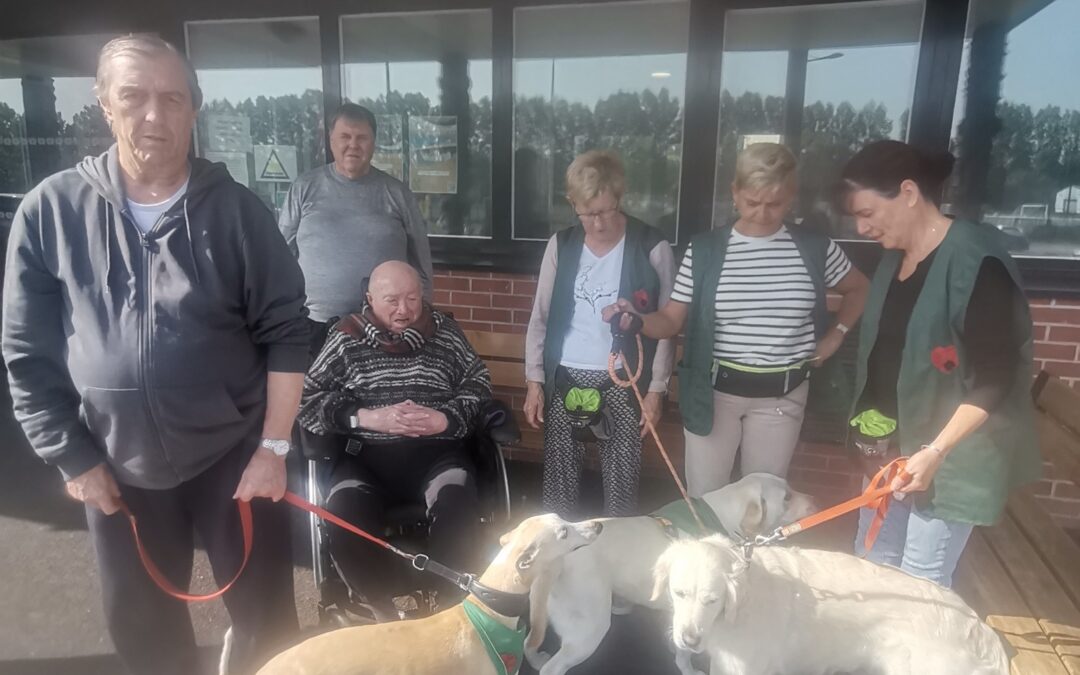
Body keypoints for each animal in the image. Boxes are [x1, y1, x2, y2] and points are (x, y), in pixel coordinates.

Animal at [527, 473, 812, 673]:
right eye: (786, 497)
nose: (815, 500)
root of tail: (557, 558)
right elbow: (685, 654)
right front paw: (689, 669)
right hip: (589, 628)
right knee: (552, 668)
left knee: (530, 643)